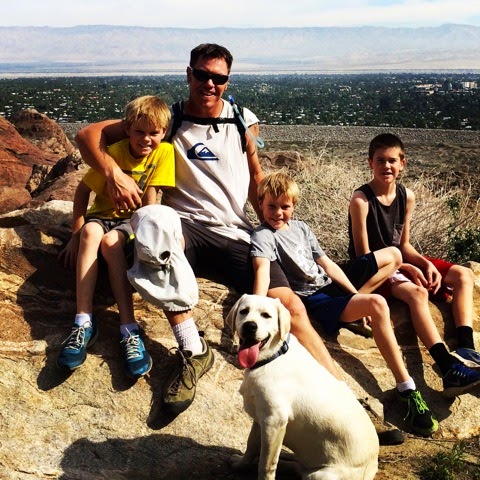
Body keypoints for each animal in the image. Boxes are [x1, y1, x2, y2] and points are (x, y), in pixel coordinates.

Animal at [226, 294, 379, 480]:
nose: (250, 326)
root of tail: (373, 466)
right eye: (244, 311)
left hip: (321, 475)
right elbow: (251, 446)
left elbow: (266, 465)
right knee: (298, 466)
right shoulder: (260, 417)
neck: (272, 357)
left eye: (266, 315)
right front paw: (241, 464)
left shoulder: (274, 422)